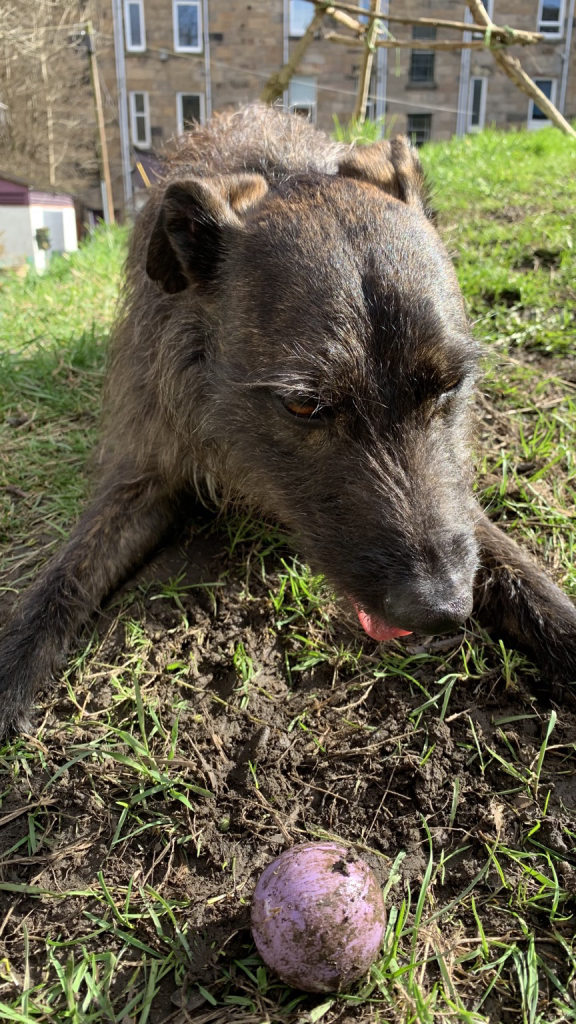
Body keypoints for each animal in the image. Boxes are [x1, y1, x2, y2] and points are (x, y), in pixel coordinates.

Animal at [1, 105, 573, 737]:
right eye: (304, 405)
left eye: (448, 384)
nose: (441, 607)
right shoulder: (143, 471)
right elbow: (62, 580)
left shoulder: (461, 513)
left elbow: (525, 576)